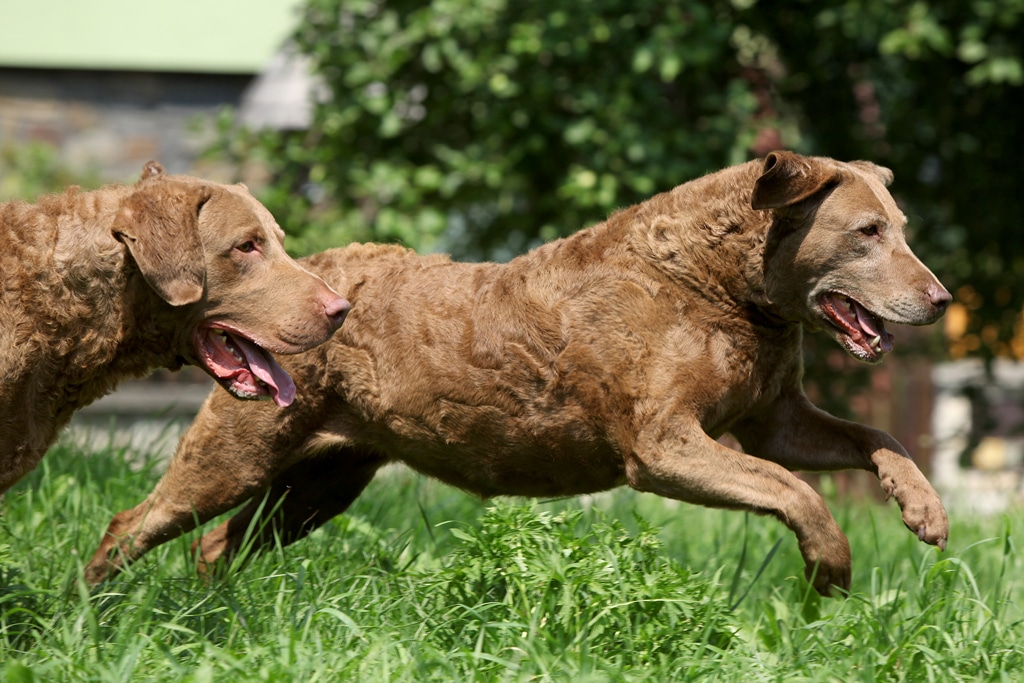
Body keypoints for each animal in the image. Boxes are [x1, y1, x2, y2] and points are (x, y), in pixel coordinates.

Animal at [86, 152, 950, 593]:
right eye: (867, 232)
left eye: (902, 227)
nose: (942, 298)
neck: (722, 288)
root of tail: (306, 283)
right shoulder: (663, 445)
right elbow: (794, 489)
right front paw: (830, 564)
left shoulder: (775, 418)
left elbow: (875, 437)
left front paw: (925, 509)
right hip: (237, 452)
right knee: (134, 523)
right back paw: (95, 608)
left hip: (321, 483)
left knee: (217, 543)